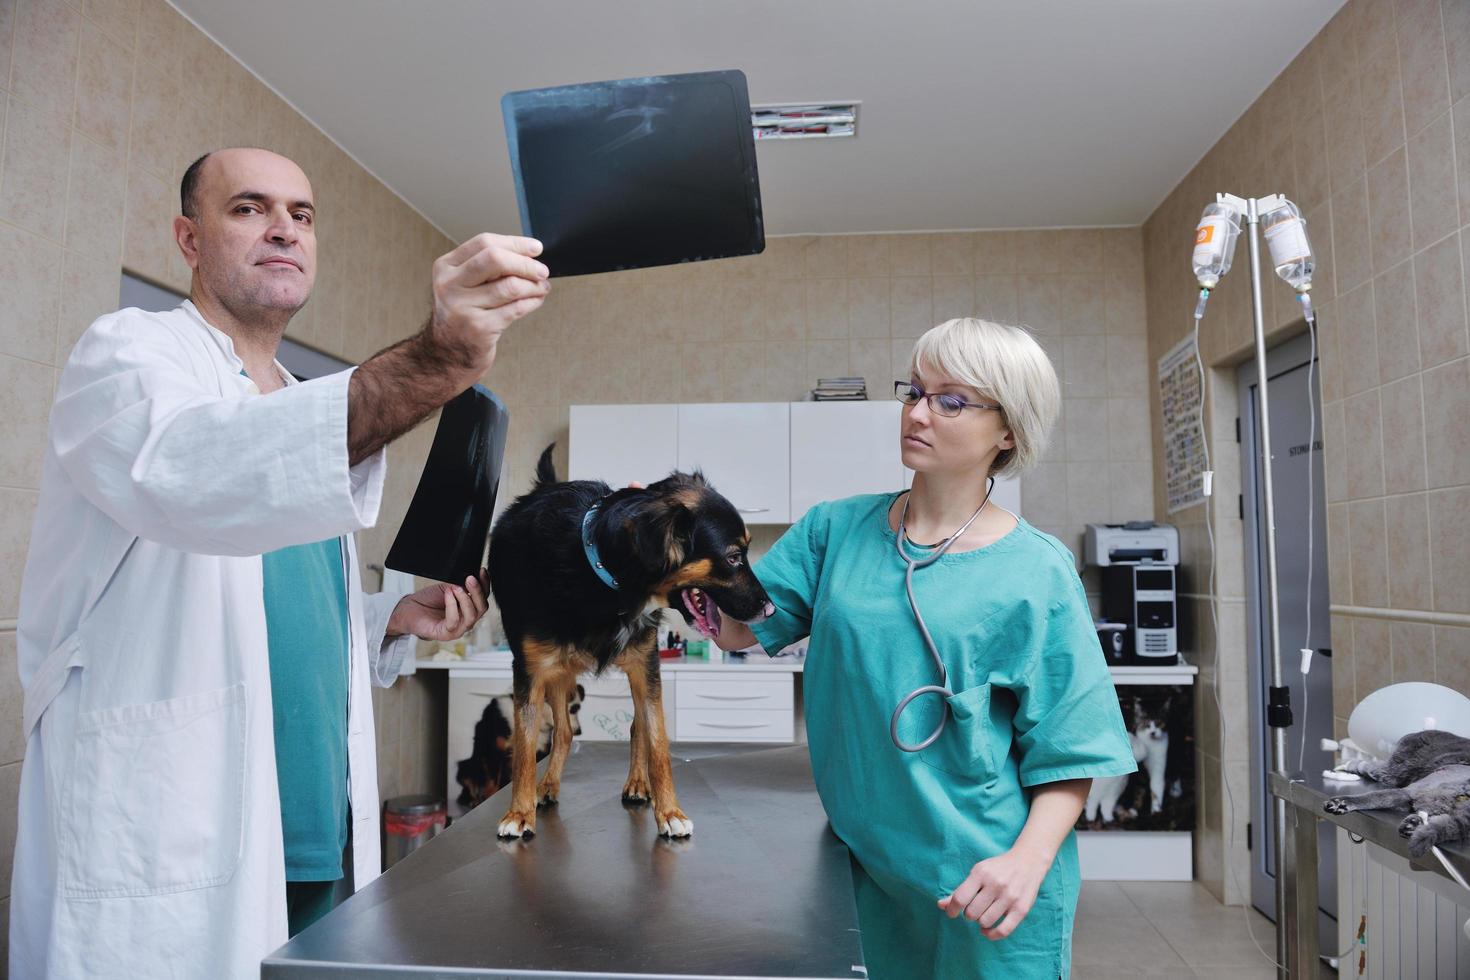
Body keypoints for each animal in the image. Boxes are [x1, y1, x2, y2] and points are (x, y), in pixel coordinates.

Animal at [488, 449, 776, 840]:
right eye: (733, 557)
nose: (771, 609)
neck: (598, 575)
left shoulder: (645, 664)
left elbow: (658, 744)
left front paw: (670, 811)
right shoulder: (530, 673)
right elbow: (524, 750)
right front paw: (518, 812)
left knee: (635, 726)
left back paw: (638, 783)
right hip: (558, 674)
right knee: (564, 732)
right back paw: (546, 786)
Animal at [1323, 728, 1470, 858]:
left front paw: (1413, 823)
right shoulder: (1408, 791)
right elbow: (1371, 797)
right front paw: (1340, 803)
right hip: (1396, 770)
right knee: (1367, 766)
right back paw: (1342, 768)